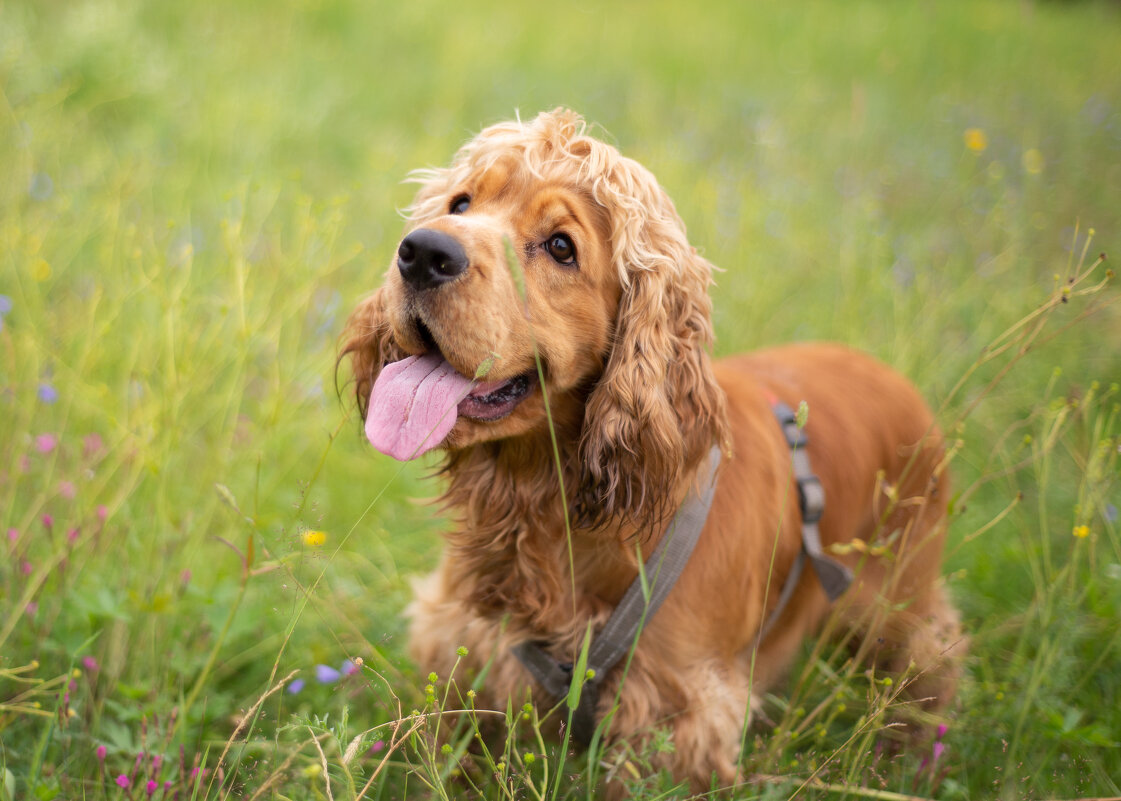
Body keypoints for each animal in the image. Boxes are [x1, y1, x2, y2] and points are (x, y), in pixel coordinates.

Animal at [340, 109, 964, 793]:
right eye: (460, 203)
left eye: (561, 247)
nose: (423, 252)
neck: (550, 512)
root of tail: (894, 377)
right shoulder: (464, 646)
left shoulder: (679, 716)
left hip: (894, 605)